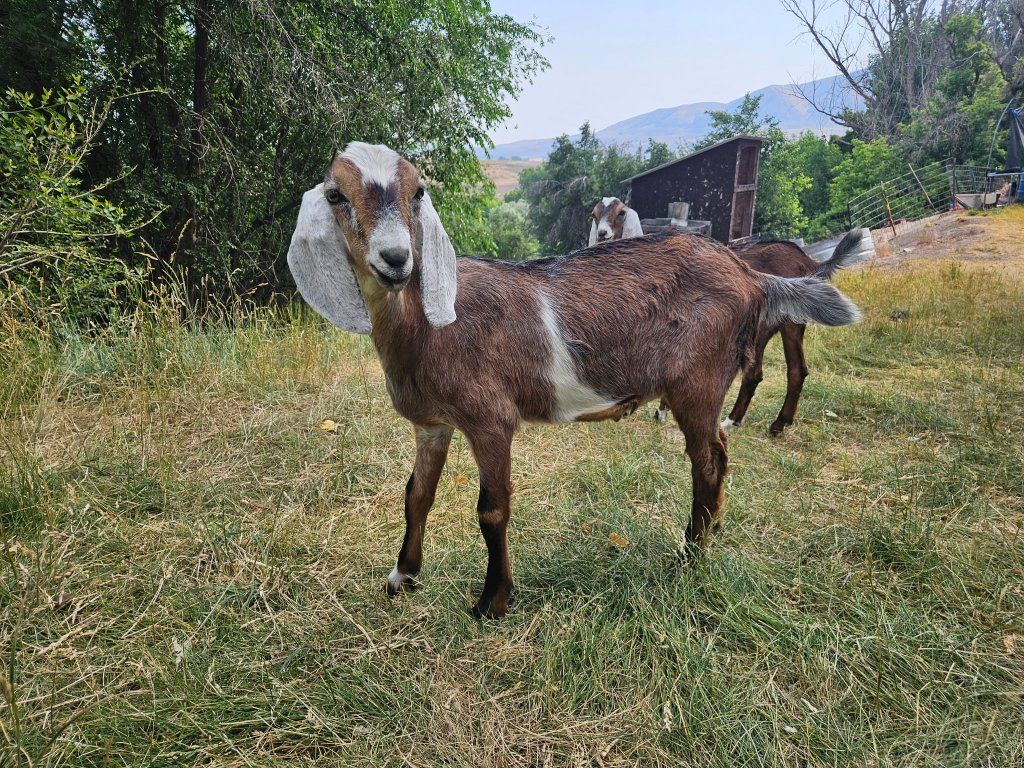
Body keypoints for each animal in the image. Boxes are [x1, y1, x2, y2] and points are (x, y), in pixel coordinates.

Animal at [287, 142, 861, 618]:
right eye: (336, 194)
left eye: (418, 191)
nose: (396, 259)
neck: (429, 329)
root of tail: (750, 274)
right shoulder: (432, 423)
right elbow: (416, 495)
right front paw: (401, 577)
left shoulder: (490, 418)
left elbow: (492, 508)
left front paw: (492, 601)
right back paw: (711, 529)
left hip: (697, 381)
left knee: (709, 460)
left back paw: (690, 556)